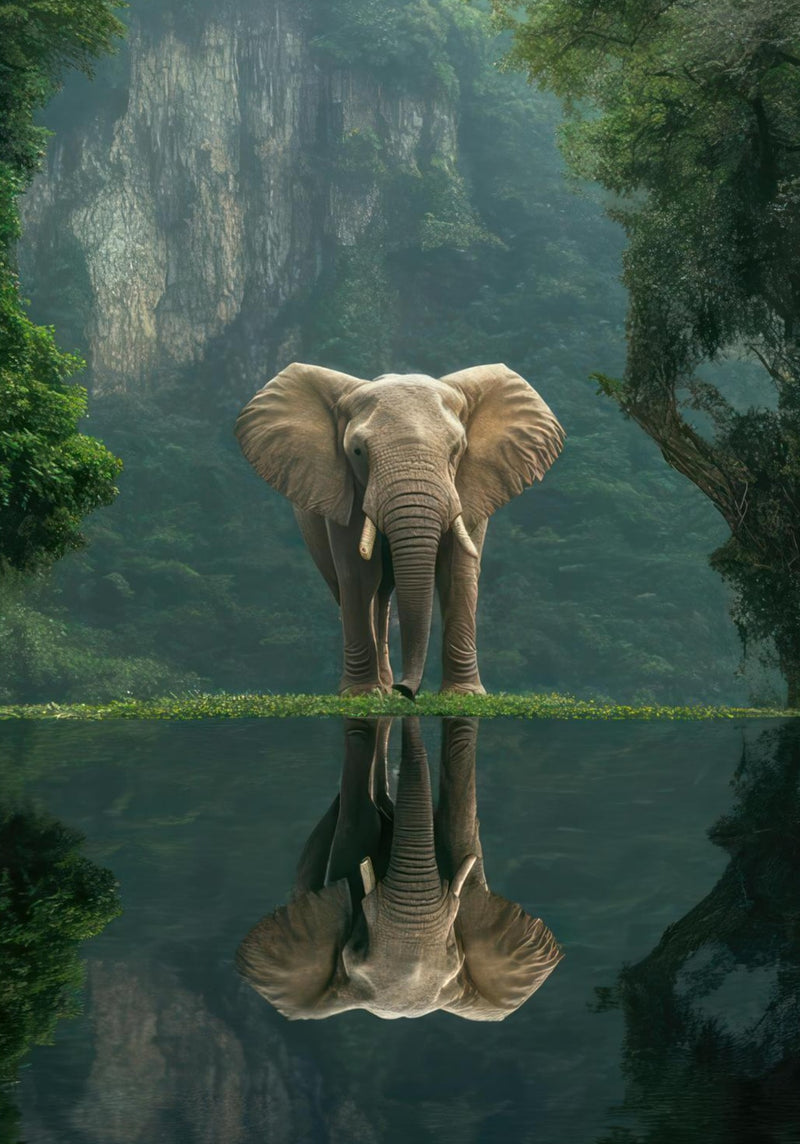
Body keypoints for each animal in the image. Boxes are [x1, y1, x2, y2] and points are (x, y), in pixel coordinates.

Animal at [235, 363, 564, 697]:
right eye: (357, 452)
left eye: (457, 450)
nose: (405, 690)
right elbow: (357, 573)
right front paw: (361, 695)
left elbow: (457, 571)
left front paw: (464, 694)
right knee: (360, 588)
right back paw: (379, 688)